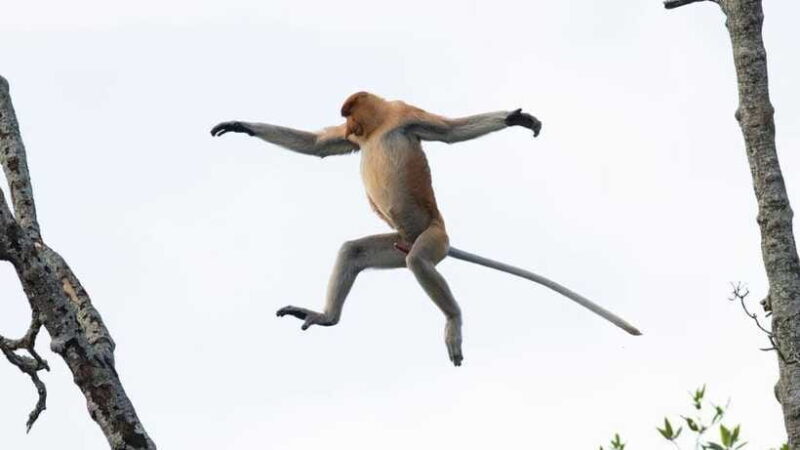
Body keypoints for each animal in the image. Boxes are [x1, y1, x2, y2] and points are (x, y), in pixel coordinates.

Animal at [211, 92, 641, 367]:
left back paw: (453, 322)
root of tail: (426, 238)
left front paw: (515, 118)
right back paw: (326, 316)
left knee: (419, 262)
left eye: (350, 111)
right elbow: (319, 144)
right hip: (395, 244)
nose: (348, 127)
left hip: (433, 239)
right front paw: (239, 126)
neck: (378, 125)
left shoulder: (405, 114)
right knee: (353, 251)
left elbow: (449, 131)